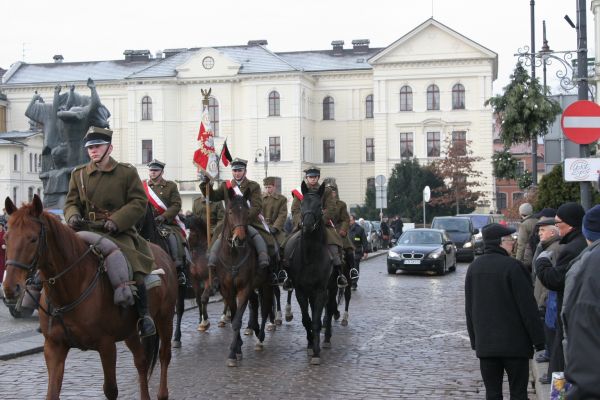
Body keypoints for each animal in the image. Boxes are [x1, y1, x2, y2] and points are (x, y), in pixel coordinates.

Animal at [1, 195, 177, 400]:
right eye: (6, 238)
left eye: (33, 239)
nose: (10, 287)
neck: (70, 288)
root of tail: (162, 252)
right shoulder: (54, 347)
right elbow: (52, 392)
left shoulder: (107, 346)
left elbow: (110, 390)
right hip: (131, 331)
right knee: (141, 361)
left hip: (165, 318)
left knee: (164, 355)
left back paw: (162, 392)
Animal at [215, 187, 273, 367]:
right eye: (230, 212)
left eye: (247, 212)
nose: (240, 238)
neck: (233, 255)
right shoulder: (227, 290)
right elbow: (234, 316)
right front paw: (237, 348)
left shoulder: (243, 288)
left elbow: (237, 320)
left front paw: (233, 353)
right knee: (255, 303)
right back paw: (254, 328)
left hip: (266, 284)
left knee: (265, 308)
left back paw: (260, 338)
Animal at [285, 181, 338, 365]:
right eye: (302, 204)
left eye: (319, 206)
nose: (307, 225)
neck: (309, 256)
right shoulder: (300, 291)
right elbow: (306, 319)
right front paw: (310, 345)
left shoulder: (321, 290)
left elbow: (315, 320)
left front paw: (316, 352)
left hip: (333, 287)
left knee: (329, 309)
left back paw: (327, 338)